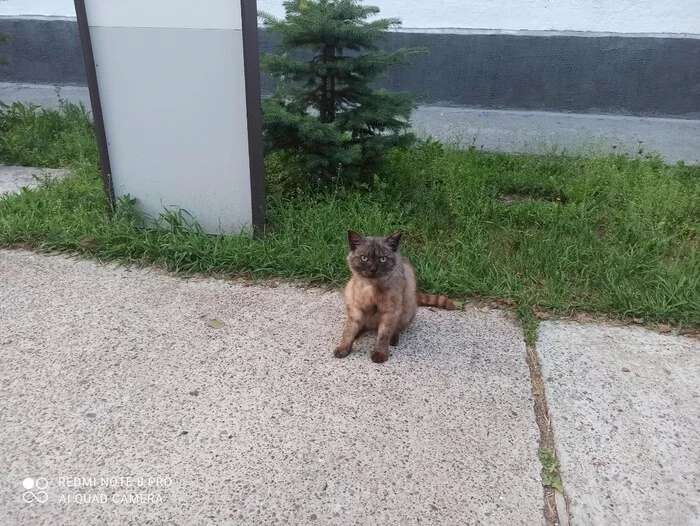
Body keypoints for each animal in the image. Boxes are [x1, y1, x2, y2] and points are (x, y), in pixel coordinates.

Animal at [334, 231, 456, 364]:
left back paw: (393, 339)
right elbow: (349, 330)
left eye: (382, 259)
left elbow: (383, 335)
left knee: (397, 328)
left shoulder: (390, 311)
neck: (372, 288)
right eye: (364, 258)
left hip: (406, 309)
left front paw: (379, 354)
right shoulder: (356, 308)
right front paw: (343, 348)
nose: (373, 269)